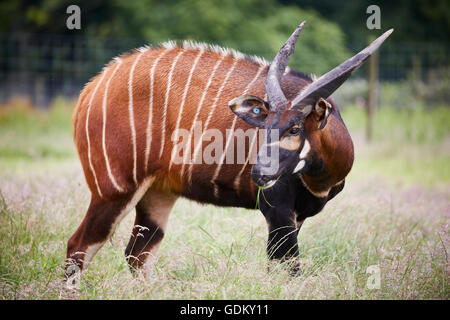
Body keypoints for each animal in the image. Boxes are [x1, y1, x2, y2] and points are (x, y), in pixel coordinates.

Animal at [65, 22, 392, 278]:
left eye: (295, 128)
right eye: (265, 124)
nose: (259, 173)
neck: (320, 179)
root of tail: (93, 87)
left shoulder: (295, 217)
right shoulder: (277, 211)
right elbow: (286, 270)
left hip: (157, 194)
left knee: (137, 255)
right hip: (114, 189)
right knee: (78, 246)